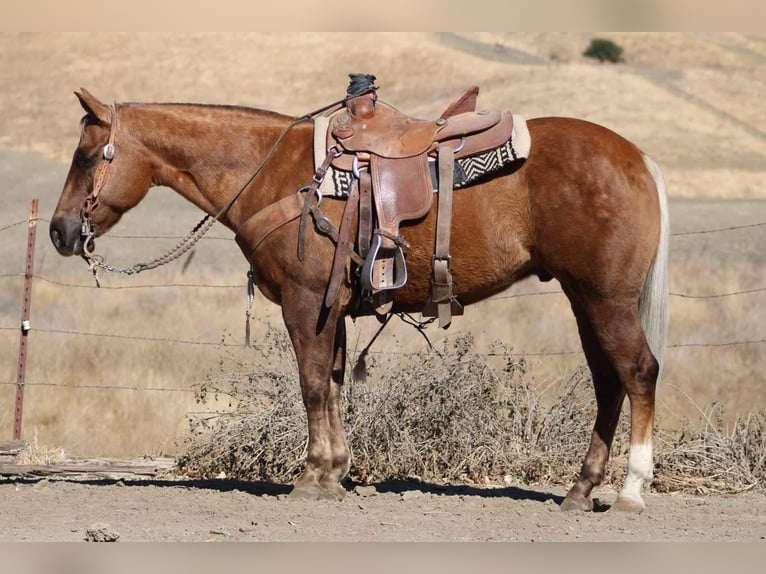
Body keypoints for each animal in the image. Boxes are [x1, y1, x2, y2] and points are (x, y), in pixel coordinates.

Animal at [50, 87, 669, 513]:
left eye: (86, 157)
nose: (59, 231)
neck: (272, 173)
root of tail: (640, 158)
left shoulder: (303, 304)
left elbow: (311, 384)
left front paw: (311, 476)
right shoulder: (334, 309)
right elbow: (334, 383)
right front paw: (334, 473)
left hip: (606, 299)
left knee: (638, 373)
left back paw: (632, 491)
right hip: (585, 298)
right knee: (608, 381)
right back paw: (580, 489)